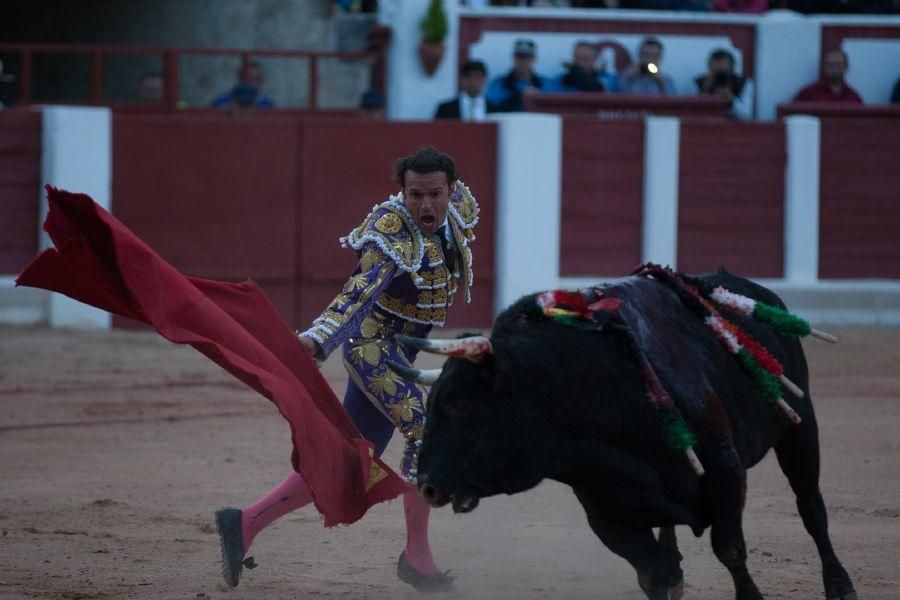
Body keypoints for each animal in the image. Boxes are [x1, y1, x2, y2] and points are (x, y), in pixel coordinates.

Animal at [392, 272, 856, 600]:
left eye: (460, 405)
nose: (427, 484)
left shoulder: (726, 474)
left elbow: (731, 551)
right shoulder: (608, 513)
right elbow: (651, 574)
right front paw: (668, 575)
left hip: (801, 426)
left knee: (811, 506)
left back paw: (840, 585)